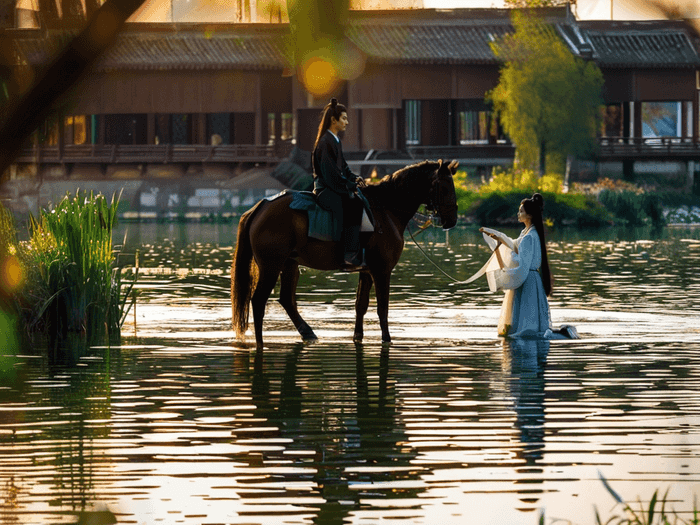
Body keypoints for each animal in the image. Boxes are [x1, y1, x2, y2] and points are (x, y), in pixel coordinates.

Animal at [230, 160, 460, 348]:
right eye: (445, 188)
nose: (452, 220)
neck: (386, 210)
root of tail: (261, 206)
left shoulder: (367, 271)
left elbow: (361, 306)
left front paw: (358, 336)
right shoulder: (382, 271)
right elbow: (382, 308)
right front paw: (387, 339)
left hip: (289, 264)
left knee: (286, 300)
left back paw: (308, 333)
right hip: (271, 266)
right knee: (258, 301)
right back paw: (261, 342)